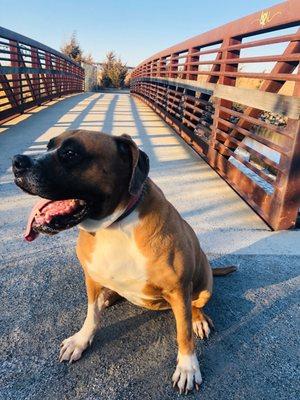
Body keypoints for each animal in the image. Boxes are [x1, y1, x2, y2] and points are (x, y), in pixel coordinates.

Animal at [12, 130, 234, 392]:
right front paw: (81, 340)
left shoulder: (178, 290)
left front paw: (188, 367)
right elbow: (91, 315)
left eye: (71, 153)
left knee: (195, 306)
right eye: (49, 146)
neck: (114, 225)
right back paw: (109, 296)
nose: (17, 161)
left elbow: (184, 333)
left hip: (203, 286)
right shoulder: (90, 277)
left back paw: (198, 319)